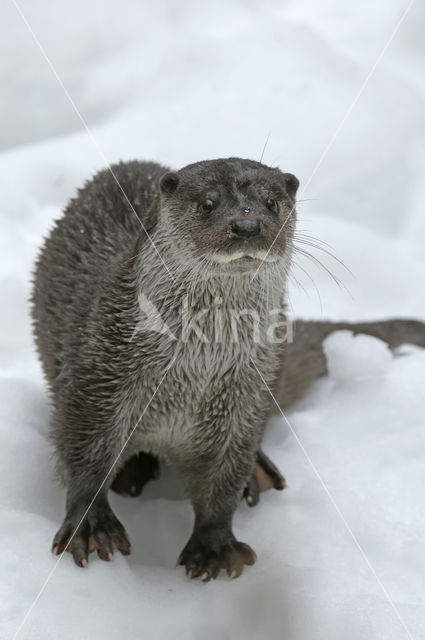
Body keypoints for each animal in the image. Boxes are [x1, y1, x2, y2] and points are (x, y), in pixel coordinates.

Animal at [32, 160, 424, 580]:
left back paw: (258, 471)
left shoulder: (241, 403)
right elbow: (84, 449)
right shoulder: (101, 377)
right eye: (208, 203)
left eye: (271, 203)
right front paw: (93, 525)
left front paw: (215, 545)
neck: (193, 372)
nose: (248, 225)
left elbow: (223, 476)